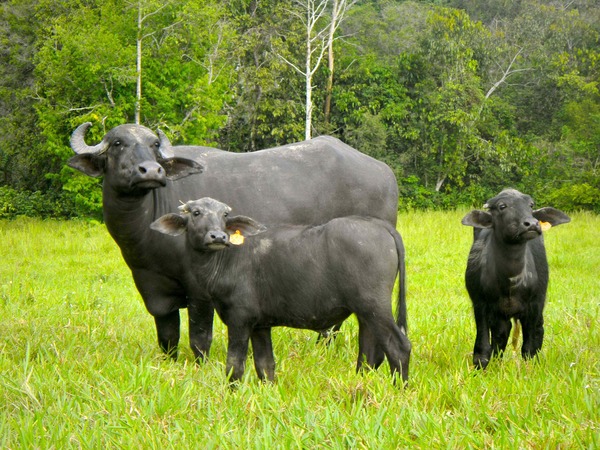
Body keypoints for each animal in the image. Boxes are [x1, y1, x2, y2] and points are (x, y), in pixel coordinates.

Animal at [68, 122, 398, 358]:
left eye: (153, 145)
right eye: (118, 143)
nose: (151, 170)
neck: (146, 224)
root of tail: (385, 172)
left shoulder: (199, 290)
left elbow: (199, 338)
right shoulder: (152, 285)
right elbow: (168, 338)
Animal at [151, 197, 412, 384]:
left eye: (224, 215)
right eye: (196, 213)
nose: (218, 236)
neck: (225, 260)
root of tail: (379, 225)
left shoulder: (239, 319)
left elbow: (234, 365)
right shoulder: (260, 326)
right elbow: (265, 365)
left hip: (374, 306)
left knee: (398, 347)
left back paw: (400, 388)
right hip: (365, 312)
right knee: (369, 351)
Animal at [462, 190, 568, 370]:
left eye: (531, 205)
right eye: (502, 206)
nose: (532, 224)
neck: (510, 280)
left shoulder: (534, 305)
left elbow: (529, 347)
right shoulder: (480, 304)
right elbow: (483, 347)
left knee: (538, 329)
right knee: (501, 333)